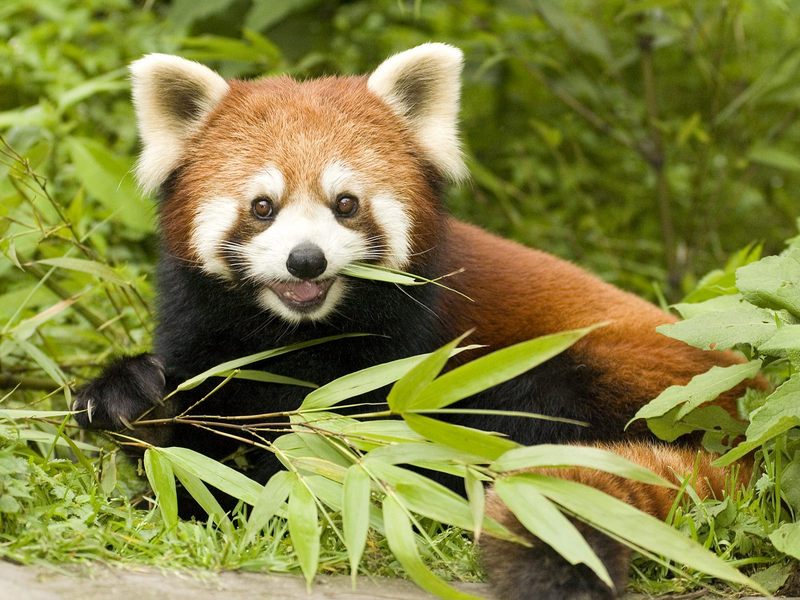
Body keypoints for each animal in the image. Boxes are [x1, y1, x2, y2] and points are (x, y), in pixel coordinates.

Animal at [73, 44, 752, 596]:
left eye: (346, 204)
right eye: (262, 207)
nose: (305, 259)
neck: (294, 336)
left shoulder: (408, 350)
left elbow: (358, 439)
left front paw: (276, 484)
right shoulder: (206, 329)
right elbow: (192, 418)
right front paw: (135, 403)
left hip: (614, 378)